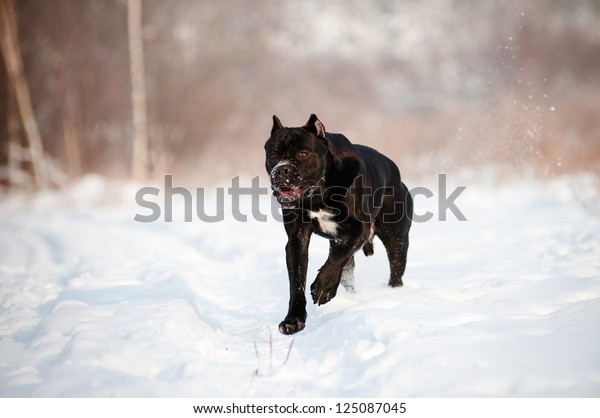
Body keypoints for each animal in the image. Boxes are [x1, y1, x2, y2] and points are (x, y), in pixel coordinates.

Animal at [266, 115, 412, 336]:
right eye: (273, 155)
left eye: (303, 154)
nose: (282, 169)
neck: (318, 193)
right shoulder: (296, 240)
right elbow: (296, 282)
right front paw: (293, 320)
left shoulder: (360, 227)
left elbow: (338, 255)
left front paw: (323, 287)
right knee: (347, 274)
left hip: (396, 239)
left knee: (395, 271)